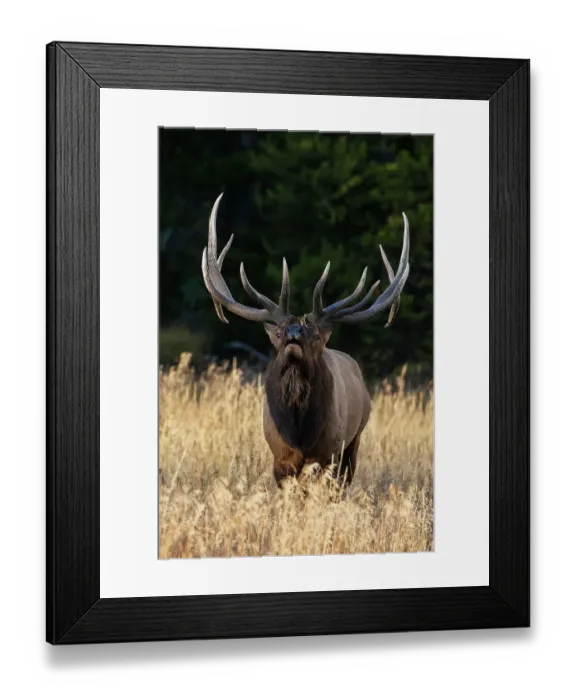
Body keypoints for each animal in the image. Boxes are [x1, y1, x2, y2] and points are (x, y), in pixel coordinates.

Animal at [202, 194, 410, 489]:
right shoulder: (280, 457)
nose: (293, 335)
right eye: (278, 333)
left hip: (355, 439)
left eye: (315, 334)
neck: (299, 430)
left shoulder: (330, 452)